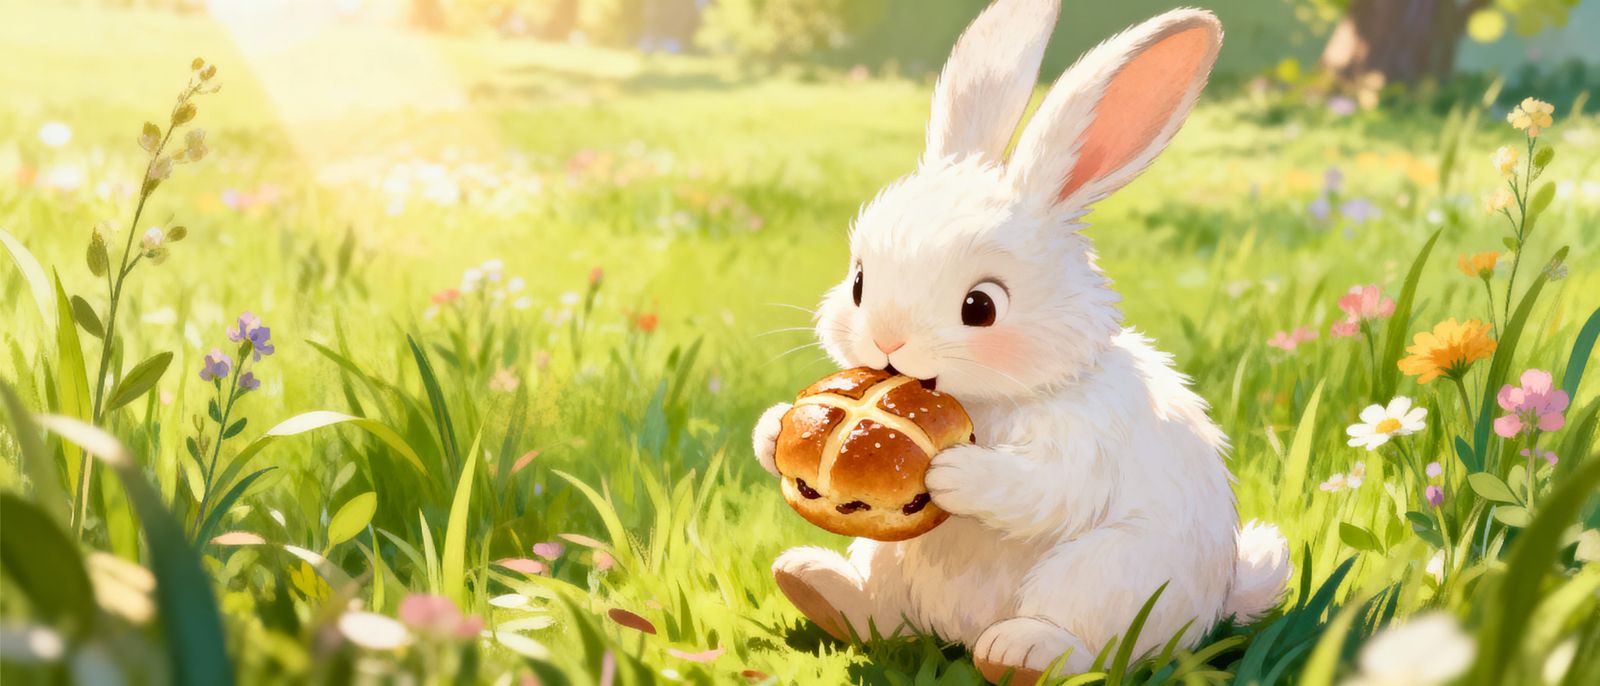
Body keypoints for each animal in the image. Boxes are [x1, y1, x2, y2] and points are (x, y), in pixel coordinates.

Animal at [750, 1, 1292, 682]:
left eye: (979, 308)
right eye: (858, 282)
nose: (887, 340)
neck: (985, 401)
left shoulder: (1087, 439)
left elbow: (1044, 488)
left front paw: (956, 471)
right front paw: (774, 429)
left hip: (1104, 574)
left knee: (1091, 645)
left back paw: (1020, 652)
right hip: (891, 561)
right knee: (884, 619)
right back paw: (814, 585)